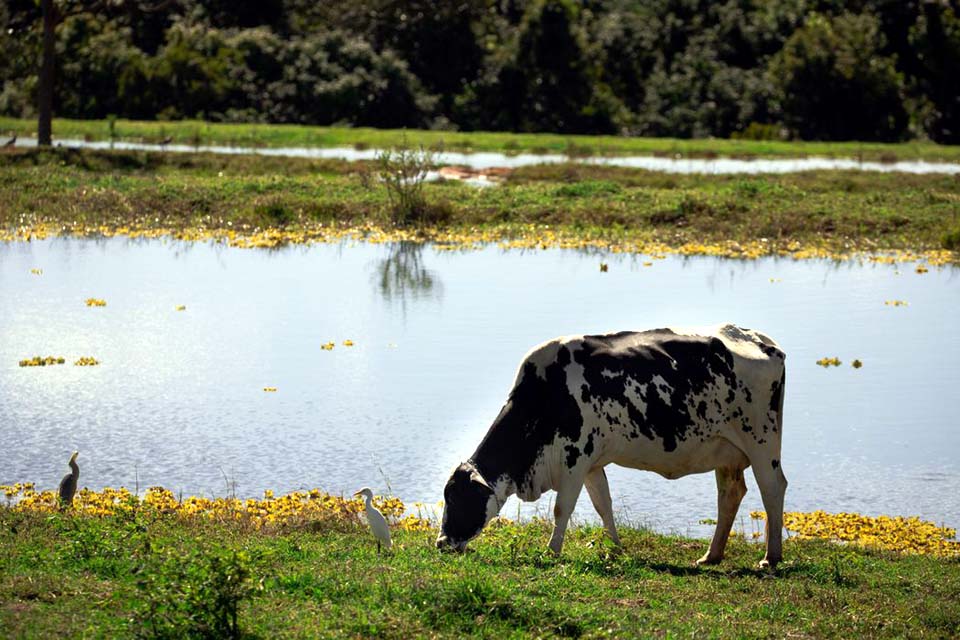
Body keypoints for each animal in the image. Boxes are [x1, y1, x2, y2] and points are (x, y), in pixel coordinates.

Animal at [438, 322, 792, 568]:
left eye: (458, 498)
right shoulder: (592, 463)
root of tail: (760, 340)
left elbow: (562, 508)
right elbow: (603, 505)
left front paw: (551, 552)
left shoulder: (575, 457)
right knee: (730, 494)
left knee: (772, 488)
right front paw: (616, 549)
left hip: (761, 440)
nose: (441, 542)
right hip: (727, 452)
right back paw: (711, 555)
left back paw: (771, 557)